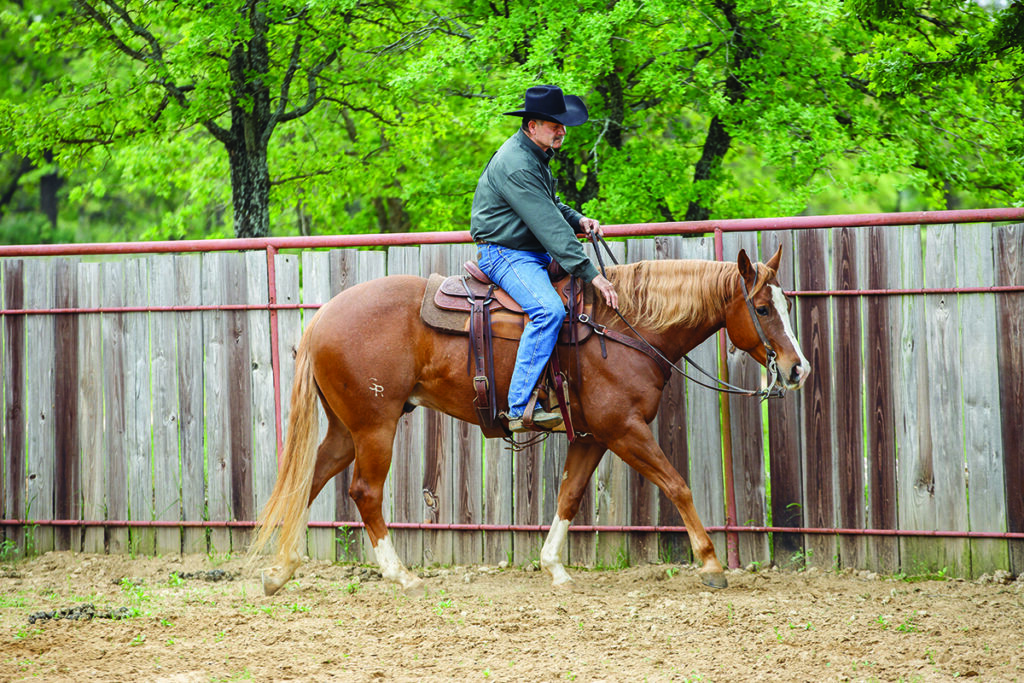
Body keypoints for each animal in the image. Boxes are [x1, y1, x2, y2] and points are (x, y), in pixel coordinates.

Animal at [247, 245, 806, 593]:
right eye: (762, 308)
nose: (798, 368)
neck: (623, 326)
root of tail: (322, 317)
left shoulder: (593, 436)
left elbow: (569, 495)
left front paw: (554, 567)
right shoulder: (625, 430)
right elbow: (677, 485)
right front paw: (710, 563)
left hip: (346, 429)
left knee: (309, 480)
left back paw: (279, 571)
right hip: (373, 426)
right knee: (364, 491)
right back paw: (401, 575)